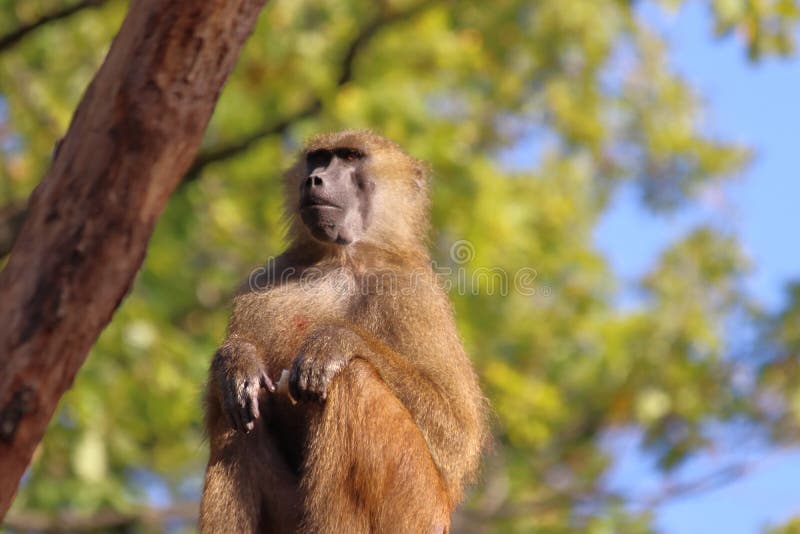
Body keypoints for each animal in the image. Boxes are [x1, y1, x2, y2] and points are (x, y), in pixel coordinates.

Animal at [200, 130, 487, 533]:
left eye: (351, 156)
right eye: (318, 158)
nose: (314, 180)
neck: (340, 259)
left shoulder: (414, 293)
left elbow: (458, 435)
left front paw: (335, 342)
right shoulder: (265, 278)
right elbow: (233, 384)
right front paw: (237, 361)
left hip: (416, 508)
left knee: (355, 380)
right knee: (233, 411)